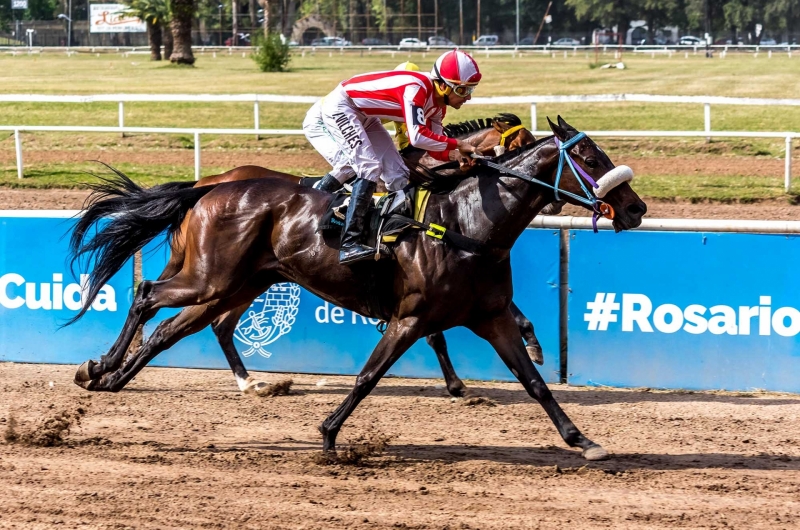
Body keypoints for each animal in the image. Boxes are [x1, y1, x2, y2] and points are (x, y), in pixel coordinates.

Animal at [161, 113, 544, 394]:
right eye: (523, 145)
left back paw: (249, 382)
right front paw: (457, 385)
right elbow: (435, 334)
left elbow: (508, 312)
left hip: (249, 276)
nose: (550, 197)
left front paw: (532, 345)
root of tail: (205, 184)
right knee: (213, 319)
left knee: (219, 323)